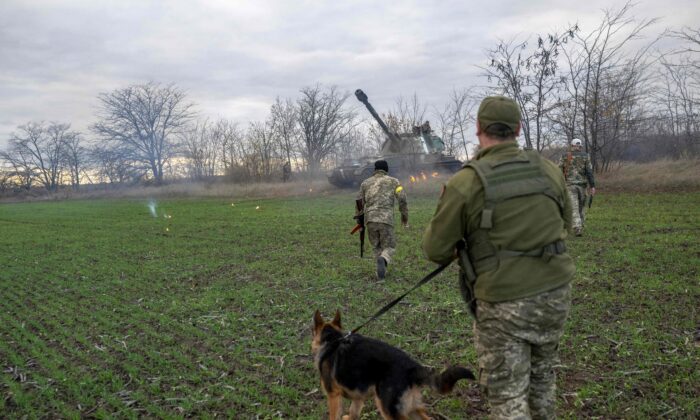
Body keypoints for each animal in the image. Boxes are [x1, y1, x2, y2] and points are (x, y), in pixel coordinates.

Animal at [312, 310, 476, 418]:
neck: (333, 339)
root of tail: (412, 367)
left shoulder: (333, 396)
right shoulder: (358, 397)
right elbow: (353, 413)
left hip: (388, 409)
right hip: (411, 407)